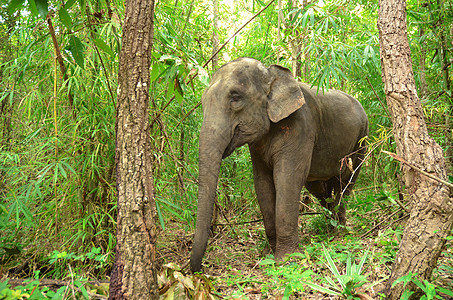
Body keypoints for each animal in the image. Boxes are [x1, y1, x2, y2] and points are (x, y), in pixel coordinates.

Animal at [189, 57, 370, 274]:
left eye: (235, 97)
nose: (199, 269)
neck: (272, 74)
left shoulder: (301, 126)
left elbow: (287, 178)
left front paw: (286, 258)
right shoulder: (257, 146)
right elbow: (262, 184)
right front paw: (268, 253)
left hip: (362, 139)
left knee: (346, 182)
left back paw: (339, 231)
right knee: (320, 188)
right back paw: (330, 226)